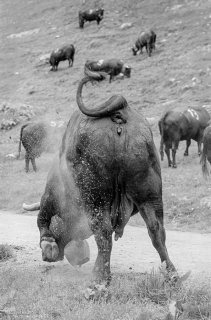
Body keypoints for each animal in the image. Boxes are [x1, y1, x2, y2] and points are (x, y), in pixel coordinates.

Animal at [22, 70, 176, 284]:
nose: (48, 258)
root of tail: (120, 112)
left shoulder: (51, 195)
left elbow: (41, 218)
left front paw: (48, 244)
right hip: (149, 193)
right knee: (156, 230)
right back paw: (171, 273)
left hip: (96, 195)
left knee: (103, 232)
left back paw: (100, 277)